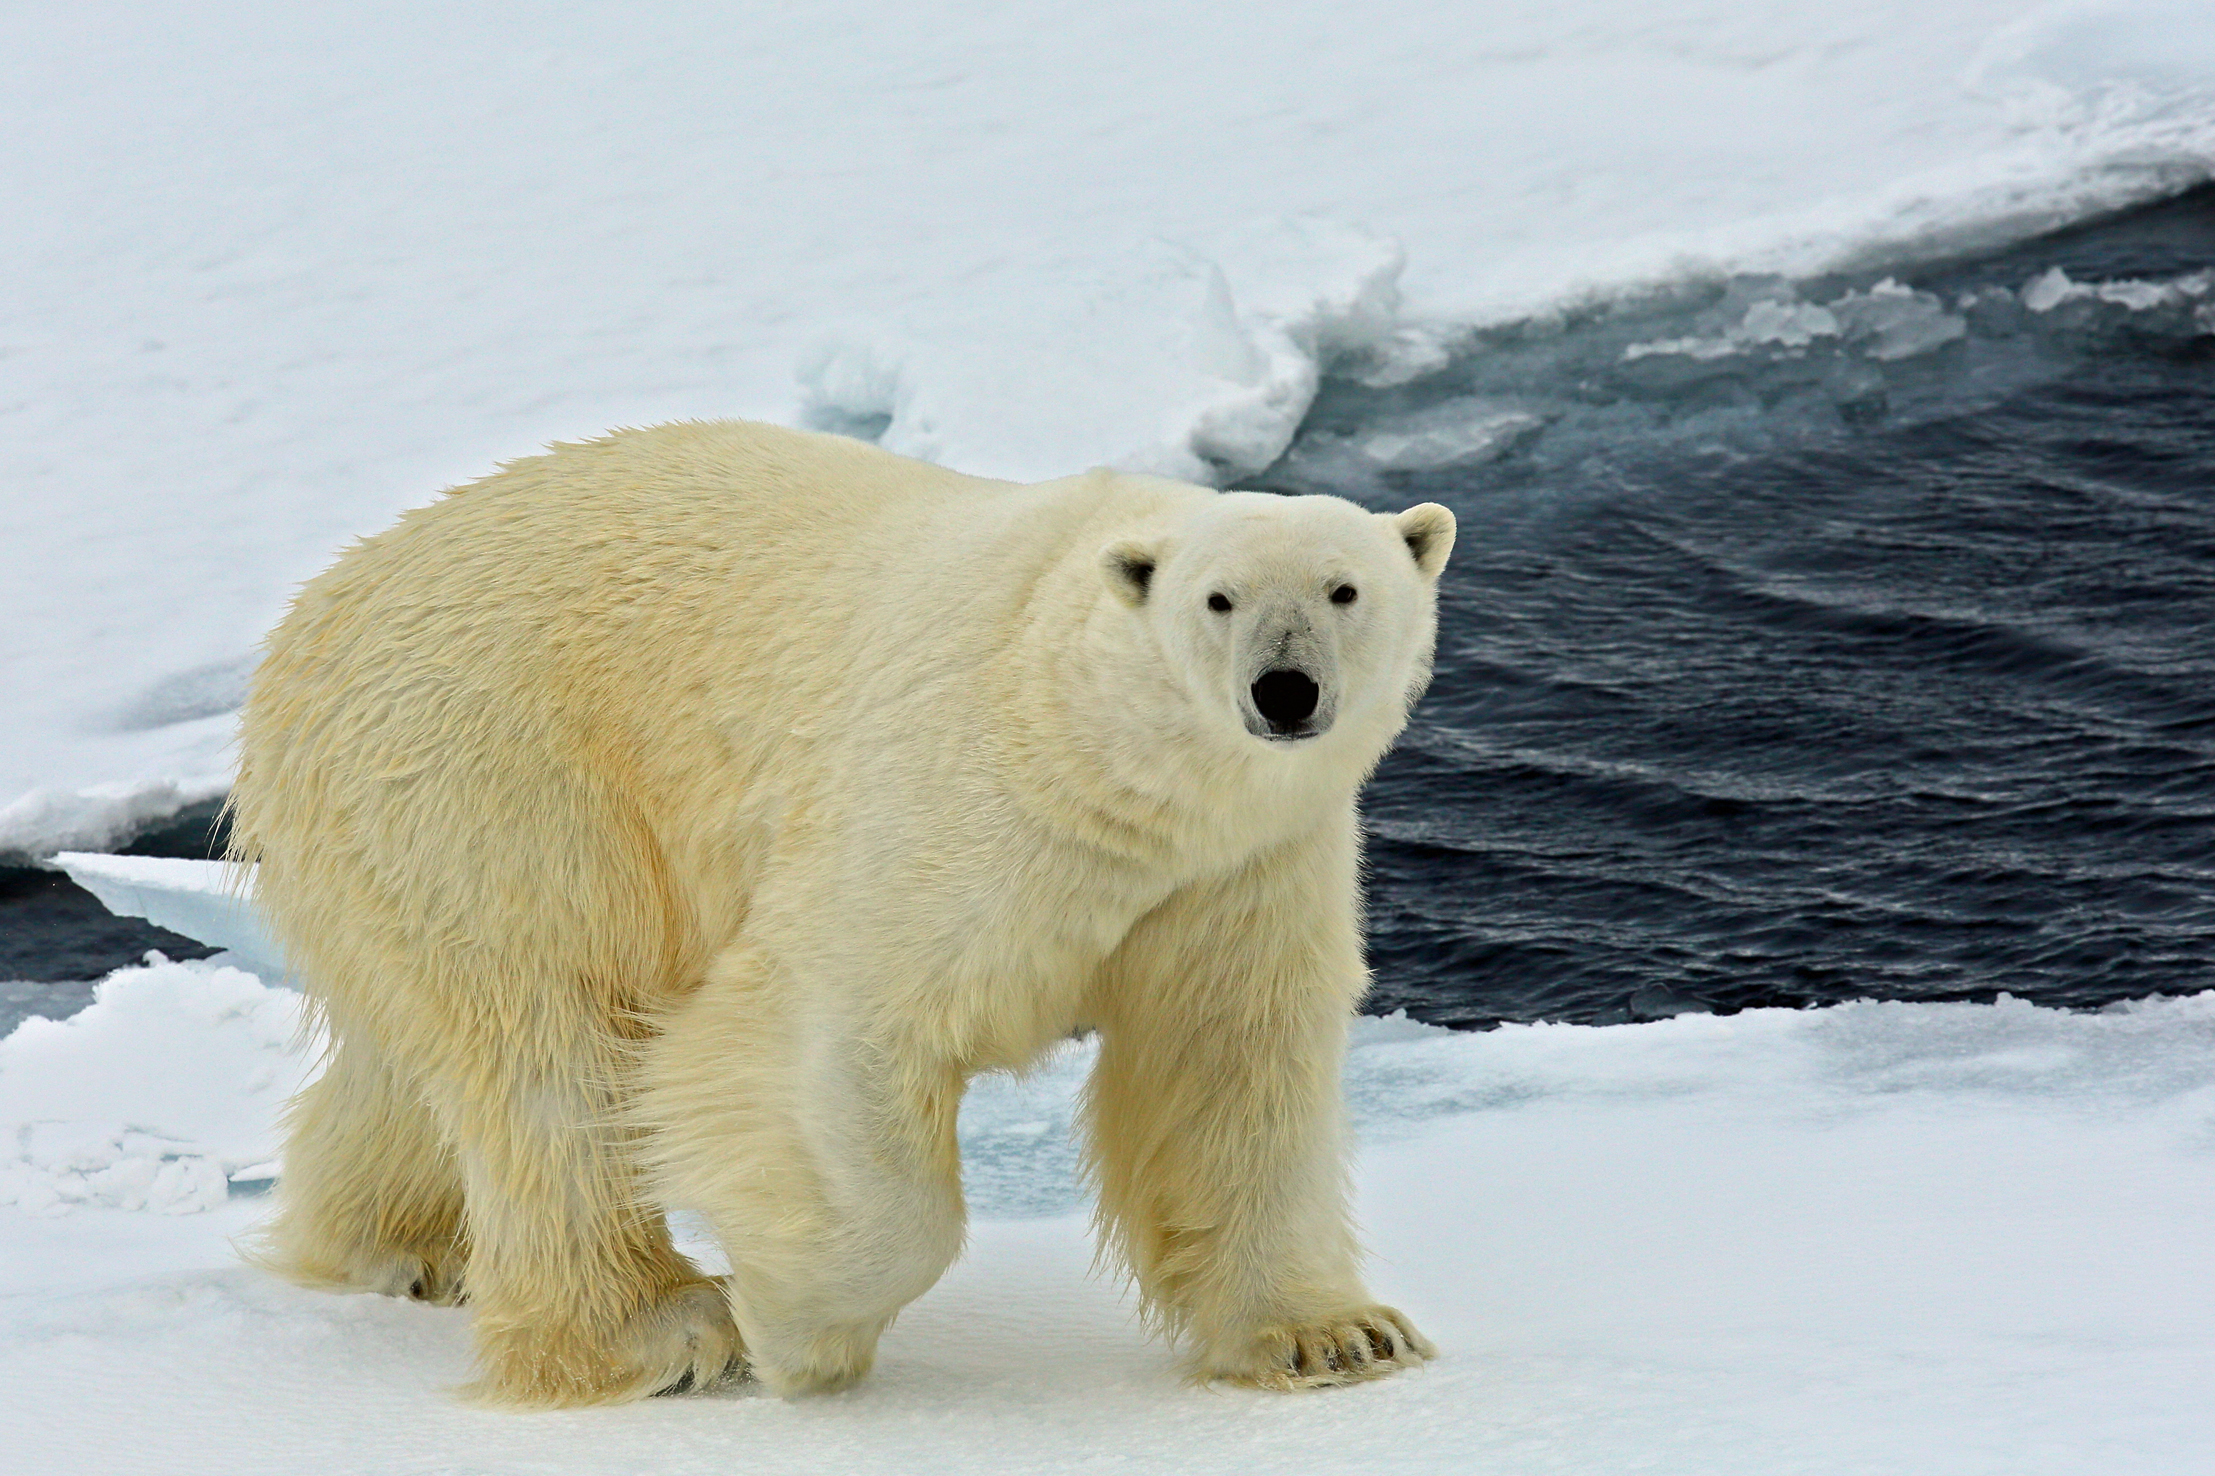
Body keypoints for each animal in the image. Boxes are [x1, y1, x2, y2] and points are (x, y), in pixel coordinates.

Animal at [229, 416, 1453, 1400]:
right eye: (1219, 599)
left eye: (1344, 590)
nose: (1284, 690)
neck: (1080, 734)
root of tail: (315, 614)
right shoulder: (957, 802)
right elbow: (824, 1034)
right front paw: (797, 1330)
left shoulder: (1235, 870)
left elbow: (1230, 1063)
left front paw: (1334, 1336)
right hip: (495, 779)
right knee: (553, 1052)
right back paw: (660, 1333)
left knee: (425, 1050)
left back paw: (400, 1247)